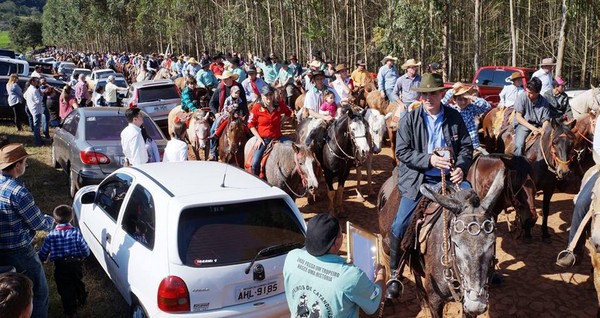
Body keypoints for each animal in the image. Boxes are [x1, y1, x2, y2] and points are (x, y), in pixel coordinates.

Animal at [482, 108, 576, 237]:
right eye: (554, 142)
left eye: (571, 143)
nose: (564, 171)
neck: (541, 161)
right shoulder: (529, 185)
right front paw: (527, 232)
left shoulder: (549, 188)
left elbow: (546, 210)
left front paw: (545, 232)